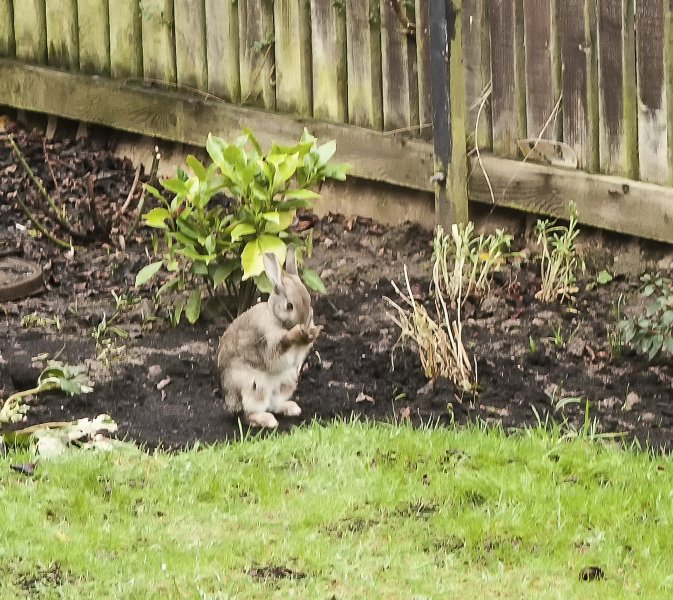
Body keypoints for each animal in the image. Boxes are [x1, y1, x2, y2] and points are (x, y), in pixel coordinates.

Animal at [216, 246, 321, 428]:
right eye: (289, 306)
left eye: (309, 301)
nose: (304, 323)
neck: (275, 317)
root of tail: (230, 405)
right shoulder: (269, 343)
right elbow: (279, 350)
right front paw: (297, 333)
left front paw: (312, 332)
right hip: (252, 387)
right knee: (247, 414)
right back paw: (268, 420)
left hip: (286, 383)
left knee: (274, 404)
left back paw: (291, 408)